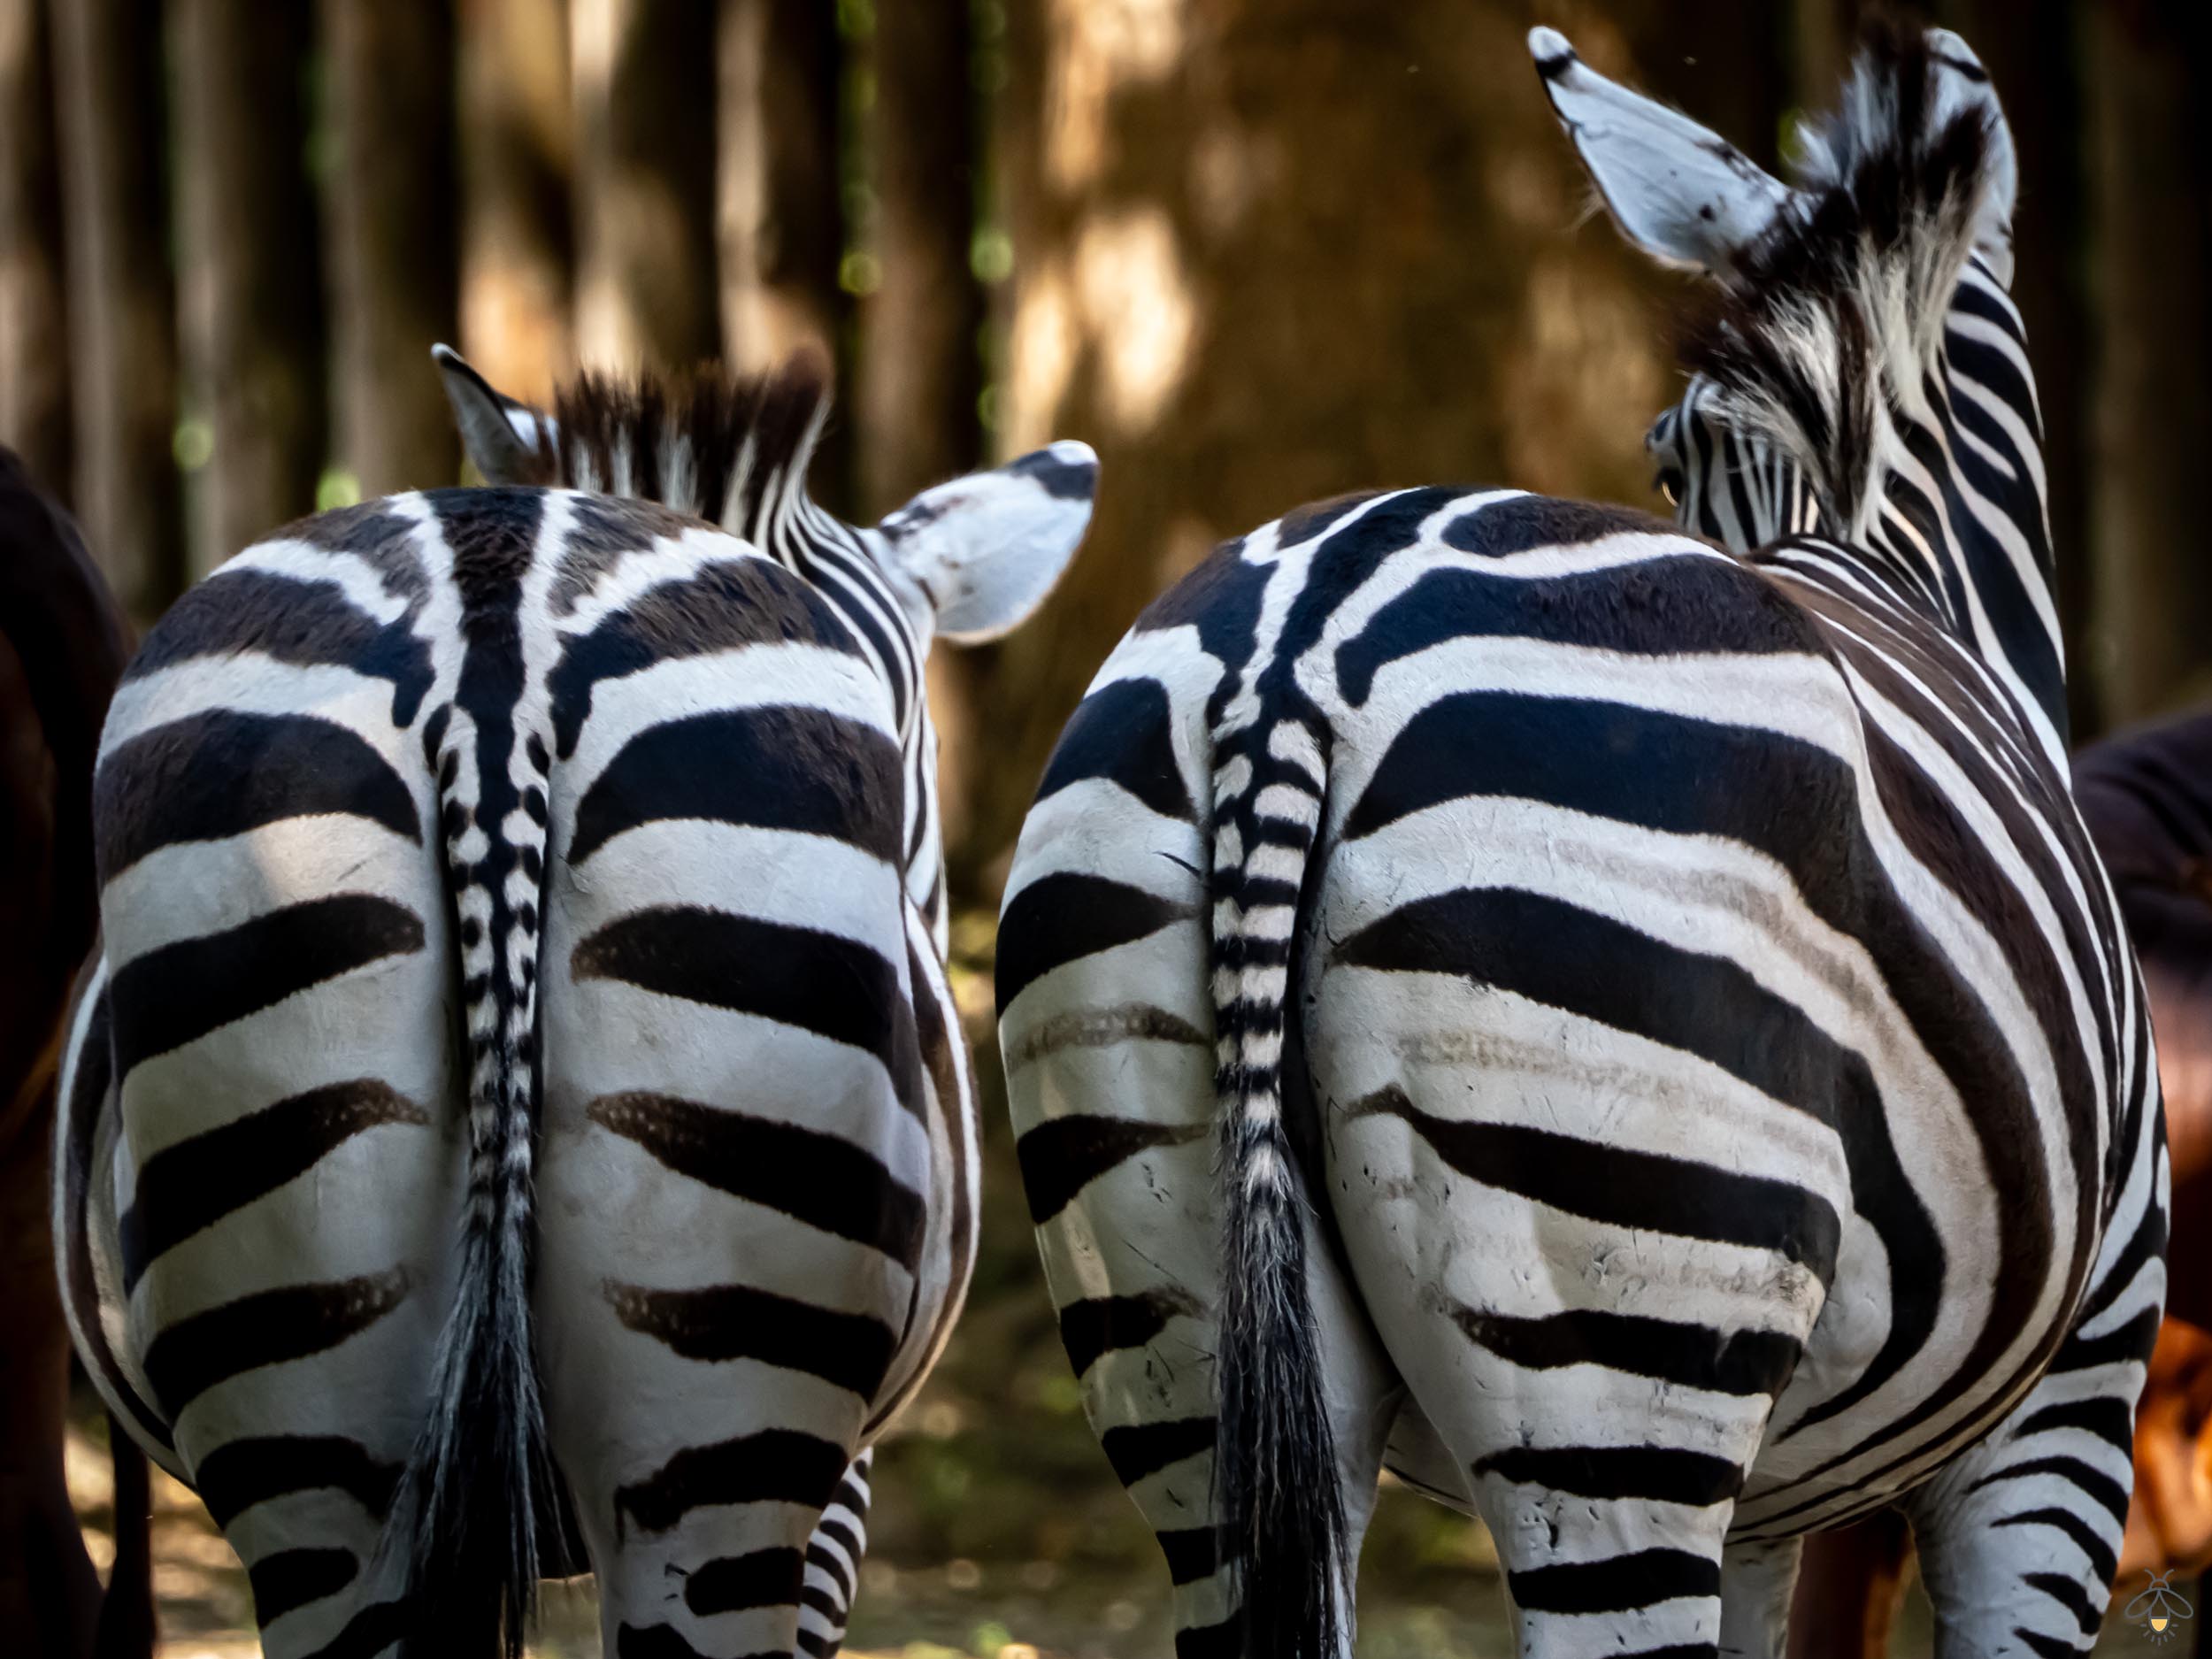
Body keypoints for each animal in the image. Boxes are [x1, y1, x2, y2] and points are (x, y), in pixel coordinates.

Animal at [995, 21, 2162, 1659]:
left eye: (1665, 456)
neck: (1879, 541)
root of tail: (1297, 649)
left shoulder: (1777, 1501)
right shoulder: (2068, 1407)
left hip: (1178, 1322)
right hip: (1619, 1338)